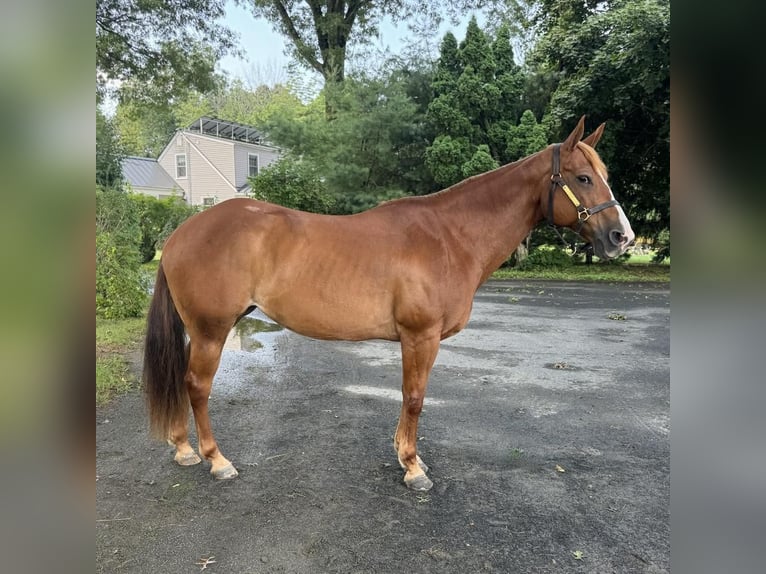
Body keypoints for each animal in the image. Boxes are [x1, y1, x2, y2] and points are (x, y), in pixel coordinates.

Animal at [142, 116, 636, 490]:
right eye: (583, 178)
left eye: (604, 176)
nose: (622, 237)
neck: (449, 237)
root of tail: (180, 233)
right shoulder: (421, 337)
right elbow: (415, 397)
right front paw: (414, 468)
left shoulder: (415, 340)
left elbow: (407, 396)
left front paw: (404, 454)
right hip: (211, 330)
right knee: (197, 386)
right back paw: (216, 459)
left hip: (201, 330)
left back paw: (183, 449)